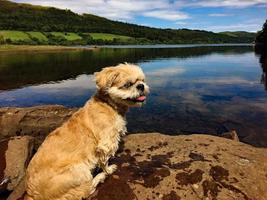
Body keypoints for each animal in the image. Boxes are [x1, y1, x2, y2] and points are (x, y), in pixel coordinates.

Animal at [24, 63, 151, 200]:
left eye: (142, 80)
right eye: (128, 84)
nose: (141, 86)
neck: (108, 105)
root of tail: (32, 193)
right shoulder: (106, 144)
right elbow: (104, 161)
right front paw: (108, 170)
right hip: (79, 171)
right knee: (86, 191)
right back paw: (99, 177)